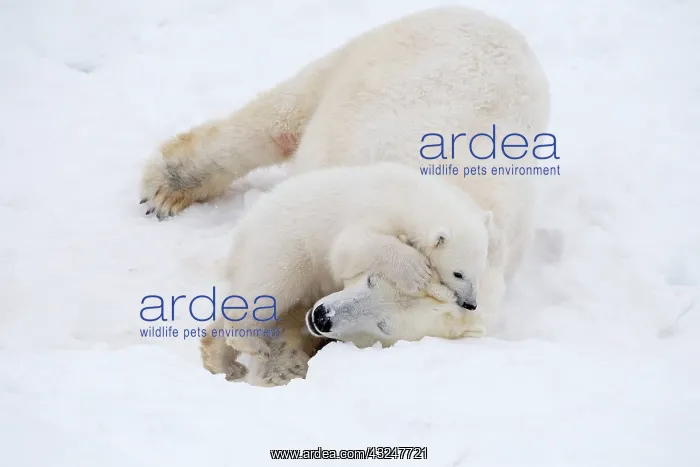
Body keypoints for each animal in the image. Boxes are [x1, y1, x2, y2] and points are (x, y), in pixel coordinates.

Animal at [202, 162, 494, 383]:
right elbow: (349, 249)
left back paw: (223, 361)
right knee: (266, 292)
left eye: (478, 272)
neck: (411, 196)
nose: (471, 303)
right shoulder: (374, 213)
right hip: (282, 248)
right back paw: (251, 345)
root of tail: (243, 230)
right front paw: (416, 271)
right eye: (458, 273)